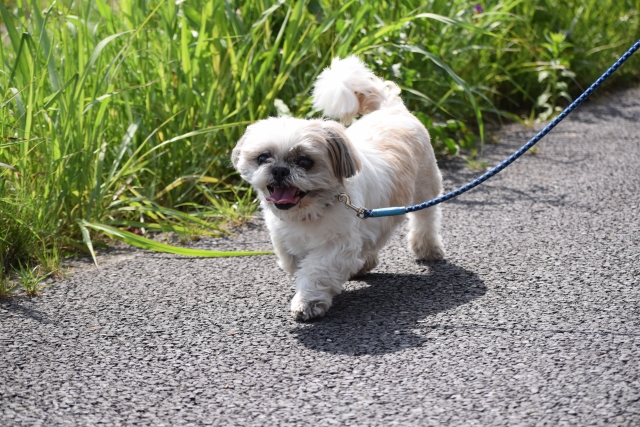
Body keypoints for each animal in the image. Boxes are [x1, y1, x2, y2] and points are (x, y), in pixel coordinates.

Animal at [231, 55, 444, 320]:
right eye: (262, 158)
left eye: (305, 162)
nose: (280, 170)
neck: (310, 211)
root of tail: (391, 109)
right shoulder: (285, 240)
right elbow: (294, 263)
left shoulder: (337, 245)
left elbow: (316, 271)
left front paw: (307, 302)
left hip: (425, 187)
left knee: (426, 217)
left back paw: (427, 248)